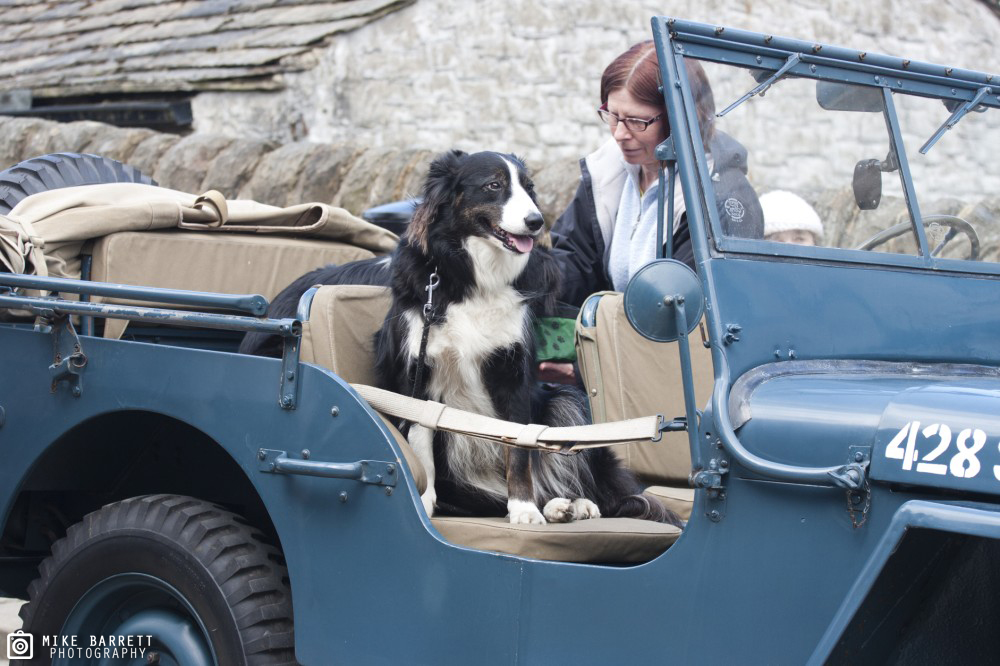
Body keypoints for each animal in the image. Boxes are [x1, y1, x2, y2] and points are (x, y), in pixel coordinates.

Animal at [243, 150, 682, 527]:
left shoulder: (513, 373)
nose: (537, 222)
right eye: (493, 185)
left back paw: (571, 504)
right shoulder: (416, 374)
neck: (473, 279)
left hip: (564, 402)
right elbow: (421, 445)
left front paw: (524, 510)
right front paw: (421, 503)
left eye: (528, 188)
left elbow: (520, 448)